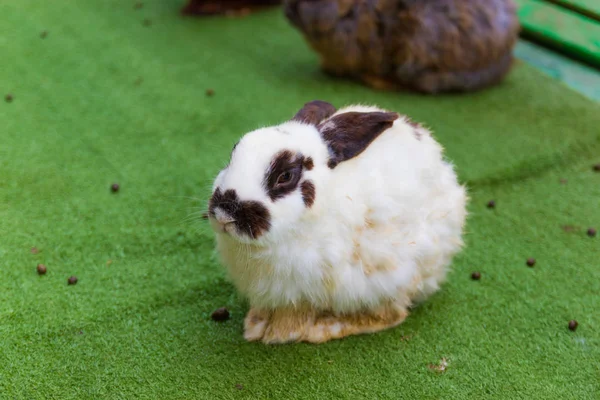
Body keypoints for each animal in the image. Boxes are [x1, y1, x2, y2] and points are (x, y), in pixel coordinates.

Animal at [209, 101, 466, 344]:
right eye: (233, 155)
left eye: (285, 176)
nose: (224, 212)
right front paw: (256, 324)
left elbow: (296, 315)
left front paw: (283, 333)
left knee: (392, 314)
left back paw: (328, 326)